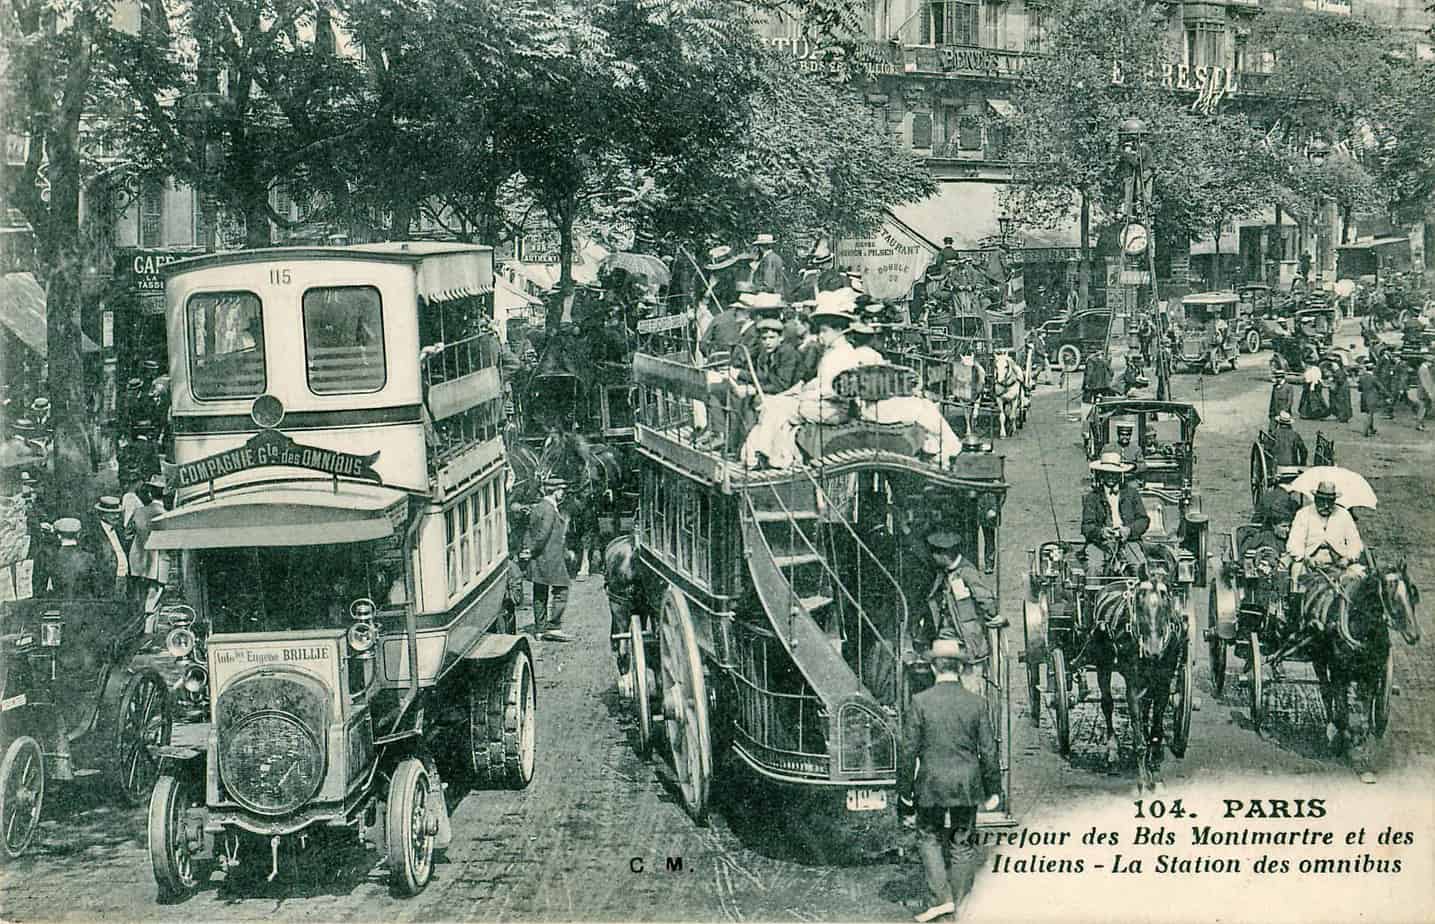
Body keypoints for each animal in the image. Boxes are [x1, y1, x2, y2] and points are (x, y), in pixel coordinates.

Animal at [1308, 556, 1417, 757]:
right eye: (1388, 592)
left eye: (1411, 592)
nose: (1414, 635)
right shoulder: (1339, 672)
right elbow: (1341, 706)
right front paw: (1343, 739)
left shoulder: (1372, 674)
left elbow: (1366, 705)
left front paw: (1362, 739)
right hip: (1319, 661)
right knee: (1326, 691)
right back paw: (1331, 728)